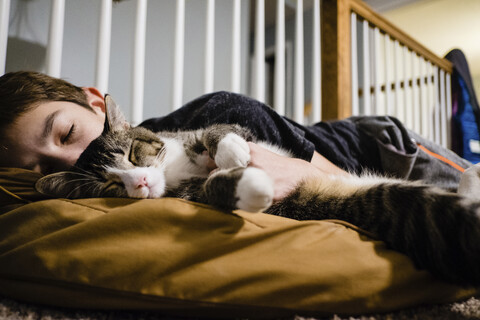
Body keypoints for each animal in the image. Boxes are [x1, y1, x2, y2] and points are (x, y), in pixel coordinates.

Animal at [36, 96, 480, 286]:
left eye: (130, 153)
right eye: (110, 186)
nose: (140, 182)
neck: (174, 171)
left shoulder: (210, 131)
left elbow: (219, 130)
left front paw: (232, 152)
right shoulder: (189, 194)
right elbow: (214, 189)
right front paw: (249, 185)